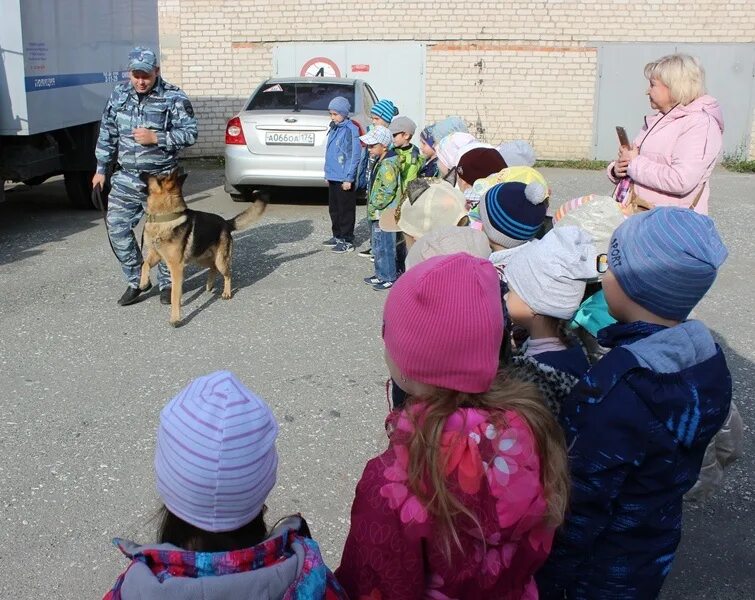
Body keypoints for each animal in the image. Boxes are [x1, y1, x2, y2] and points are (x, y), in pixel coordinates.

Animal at [140, 169, 268, 328]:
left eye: (155, 177)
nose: (140, 172)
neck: (165, 217)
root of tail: (226, 223)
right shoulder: (156, 256)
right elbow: (144, 264)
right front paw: (143, 283)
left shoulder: (176, 268)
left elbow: (175, 295)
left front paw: (175, 318)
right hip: (199, 259)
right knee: (212, 267)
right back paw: (209, 284)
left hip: (220, 261)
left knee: (227, 273)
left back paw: (226, 292)